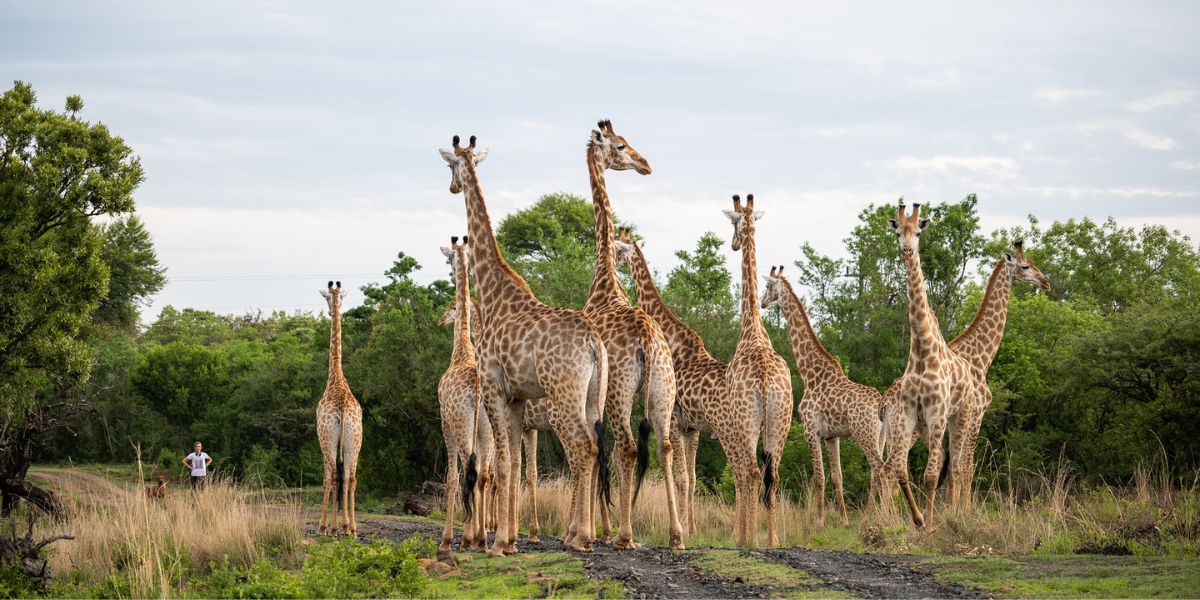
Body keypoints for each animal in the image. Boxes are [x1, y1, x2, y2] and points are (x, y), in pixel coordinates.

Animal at [439, 135, 610, 556]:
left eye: (449, 166)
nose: (451, 186)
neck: (494, 290)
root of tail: (593, 343)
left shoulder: (494, 388)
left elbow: (500, 465)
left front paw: (497, 542)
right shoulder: (517, 398)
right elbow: (515, 466)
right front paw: (511, 538)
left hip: (563, 396)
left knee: (582, 448)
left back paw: (581, 537)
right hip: (593, 396)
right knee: (598, 449)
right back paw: (587, 534)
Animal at [761, 266, 888, 526]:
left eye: (768, 286)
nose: (762, 302)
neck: (810, 374)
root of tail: (881, 405)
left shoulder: (811, 430)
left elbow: (819, 477)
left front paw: (818, 522)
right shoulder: (832, 436)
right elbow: (837, 476)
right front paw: (844, 520)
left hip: (864, 433)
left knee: (880, 470)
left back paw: (880, 517)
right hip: (880, 437)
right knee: (878, 472)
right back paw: (874, 516)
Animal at [885, 200, 983, 527]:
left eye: (917, 232)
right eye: (898, 232)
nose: (906, 249)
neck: (921, 350)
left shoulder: (938, 412)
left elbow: (929, 476)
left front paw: (929, 524)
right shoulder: (908, 413)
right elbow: (901, 471)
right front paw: (917, 519)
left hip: (960, 418)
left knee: (954, 465)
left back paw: (951, 515)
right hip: (928, 427)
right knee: (941, 459)